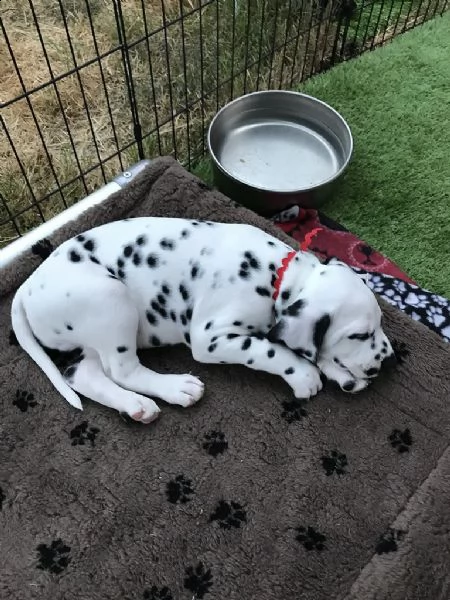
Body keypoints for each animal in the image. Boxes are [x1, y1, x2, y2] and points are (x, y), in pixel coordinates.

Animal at [11, 216, 398, 422]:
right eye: (360, 335)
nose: (391, 358)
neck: (275, 274)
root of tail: (26, 289)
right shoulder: (211, 337)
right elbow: (269, 350)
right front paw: (303, 375)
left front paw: (339, 374)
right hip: (111, 299)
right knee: (121, 371)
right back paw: (177, 388)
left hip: (93, 334)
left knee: (84, 374)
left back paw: (136, 407)